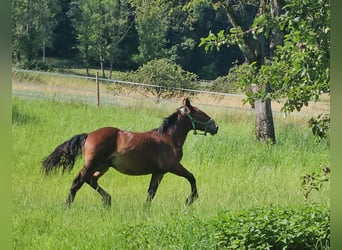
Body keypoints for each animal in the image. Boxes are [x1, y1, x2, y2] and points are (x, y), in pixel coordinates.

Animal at [41, 97, 218, 207]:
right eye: (200, 112)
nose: (215, 126)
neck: (168, 138)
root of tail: (89, 135)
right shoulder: (173, 166)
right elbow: (191, 177)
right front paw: (191, 199)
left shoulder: (158, 172)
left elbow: (151, 193)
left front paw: (145, 210)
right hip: (92, 164)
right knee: (78, 181)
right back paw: (67, 205)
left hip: (103, 166)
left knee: (91, 180)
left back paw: (108, 201)